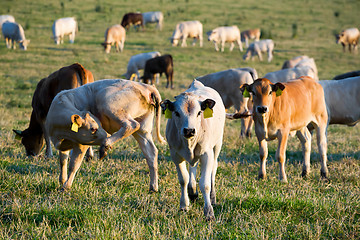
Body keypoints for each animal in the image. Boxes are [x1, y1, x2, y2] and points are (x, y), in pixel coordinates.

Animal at [162, 80, 225, 221]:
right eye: (176, 113)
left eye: (199, 113)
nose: (189, 130)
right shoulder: (175, 155)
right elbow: (183, 179)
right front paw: (184, 205)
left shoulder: (207, 154)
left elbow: (205, 184)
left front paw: (209, 212)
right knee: (193, 167)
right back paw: (192, 191)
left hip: (217, 145)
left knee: (213, 170)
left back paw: (212, 197)